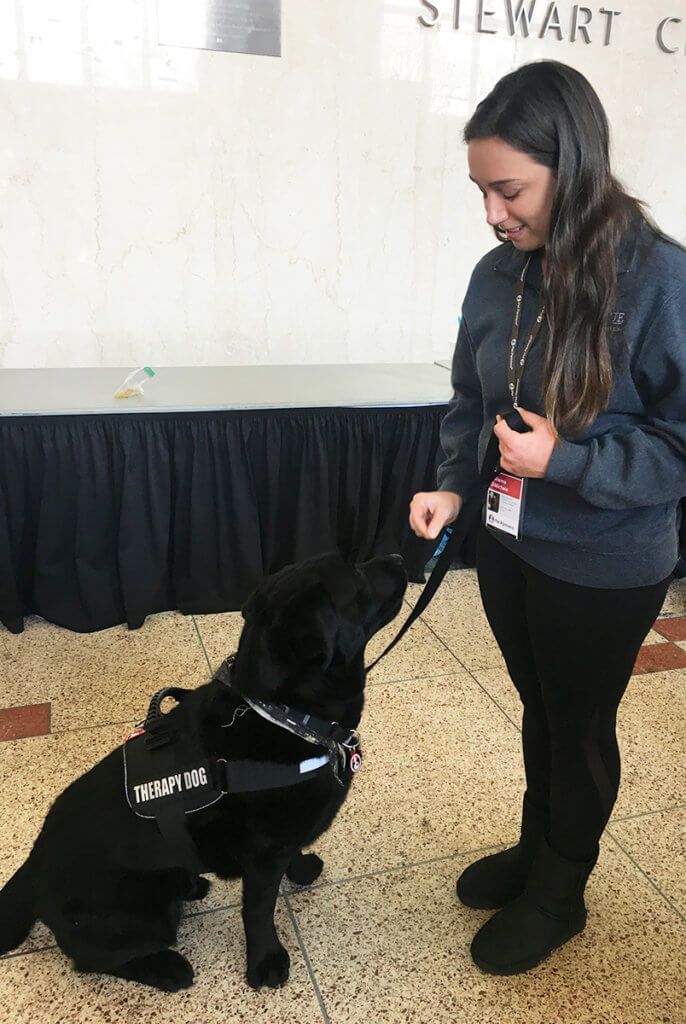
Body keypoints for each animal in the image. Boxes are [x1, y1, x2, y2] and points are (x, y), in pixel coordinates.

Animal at [0, 552, 409, 991]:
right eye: (356, 575)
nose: (400, 556)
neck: (286, 716)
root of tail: (31, 868)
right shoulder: (263, 860)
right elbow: (258, 912)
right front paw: (266, 961)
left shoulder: (282, 844)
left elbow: (293, 855)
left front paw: (301, 870)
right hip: (140, 919)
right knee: (93, 960)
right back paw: (168, 969)